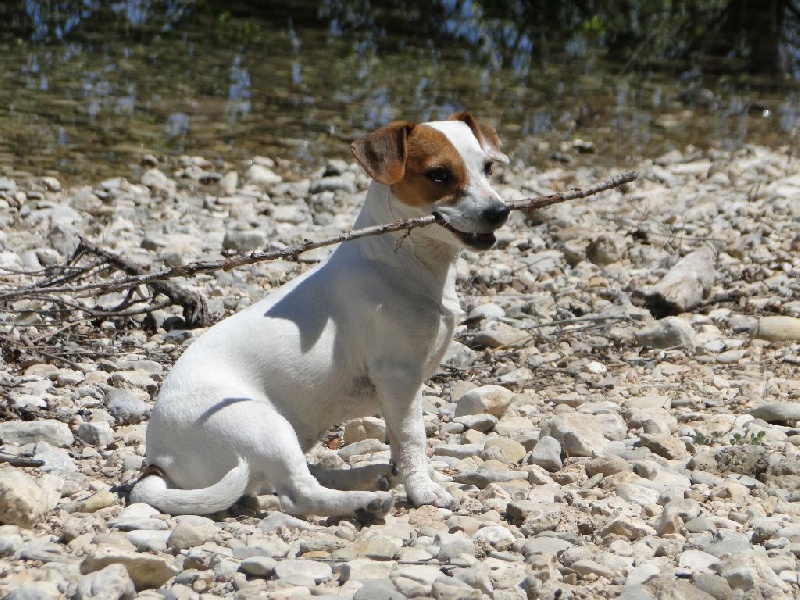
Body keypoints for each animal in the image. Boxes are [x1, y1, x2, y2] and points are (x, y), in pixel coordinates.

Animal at [128, 112, 510, 520]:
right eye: (439, 174)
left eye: (488, 168)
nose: (500, 212)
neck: (396, 263)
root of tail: (158, 462)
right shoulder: (399, 376)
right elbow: (413, 438)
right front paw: (423, 490)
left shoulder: (398, 390)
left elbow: (398, 439)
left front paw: (410, 476)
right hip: (262, 426)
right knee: (300, 493)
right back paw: (363, 502)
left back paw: (367, 477)